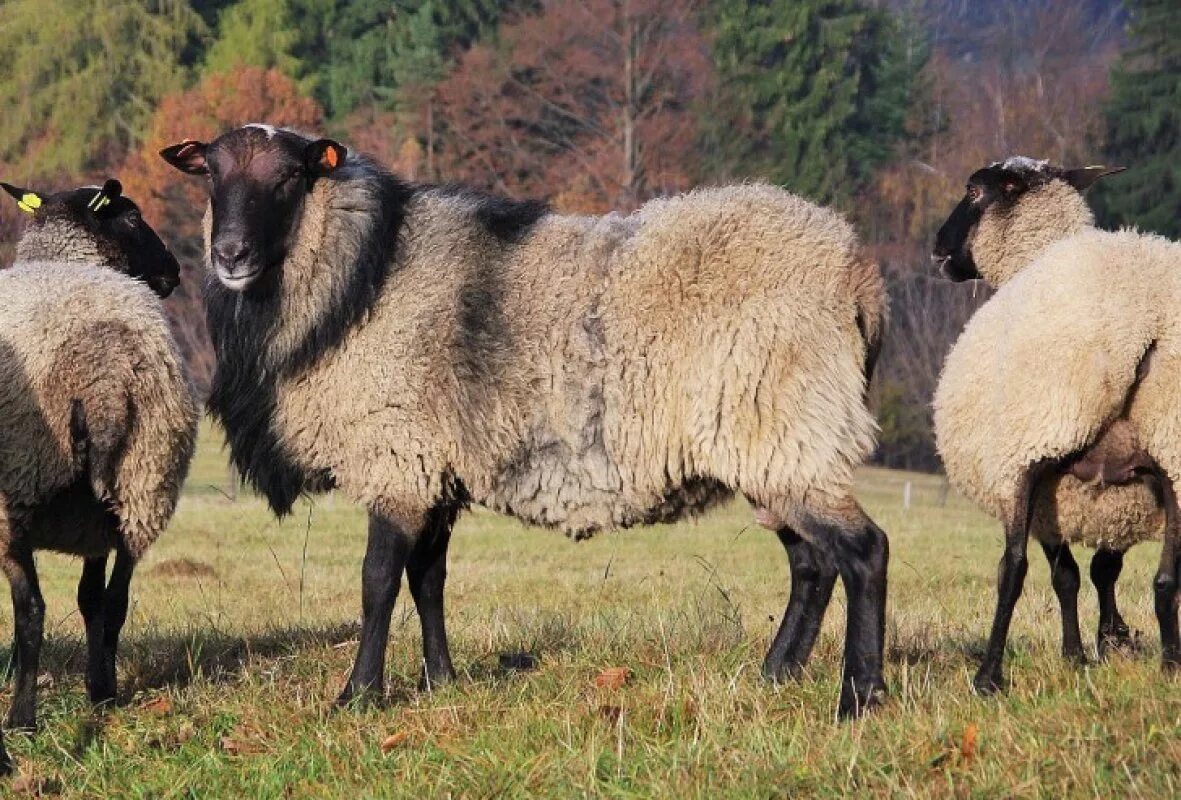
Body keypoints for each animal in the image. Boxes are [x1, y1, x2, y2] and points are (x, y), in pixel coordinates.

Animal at [0, 179, 197, 765]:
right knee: (112, 602)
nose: (174, 272)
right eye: (131, 217)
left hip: (19, 496)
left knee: (32, 612)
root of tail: (101, 370)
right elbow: (93, 600)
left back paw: (24, 720)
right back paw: (101, 692)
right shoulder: (94, 527)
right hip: (140, 486)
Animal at [161, 123, 888, 718]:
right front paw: (441, 682)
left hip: (787, 425)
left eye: (289, 176)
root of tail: (857, 270)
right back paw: (775, 675)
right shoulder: (436, 467)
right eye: (211, 174)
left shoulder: (398, 455)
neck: (361, 278)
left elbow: (377, 582)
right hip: (772, 444)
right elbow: (427, 580)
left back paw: (859, 697)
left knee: (863, 552)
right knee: (812, 563)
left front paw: (358, 696)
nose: (230, 254)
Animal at [930, 157, 1181, 694]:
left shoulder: (1042, 472)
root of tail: (1144, 324)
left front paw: (1077, 653)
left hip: (1031, 445)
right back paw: (1171, 665)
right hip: (1171, 449)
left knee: (1012, 569)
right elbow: (1097, 569)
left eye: (973, 191)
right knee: (1168, 577)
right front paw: (1101, 645)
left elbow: (1060, 573)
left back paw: (988, 675)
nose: (938, 247)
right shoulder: (1101, 494)